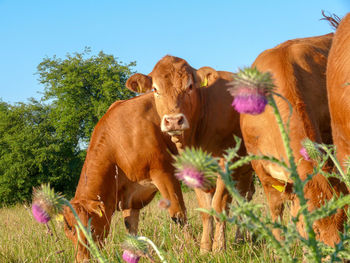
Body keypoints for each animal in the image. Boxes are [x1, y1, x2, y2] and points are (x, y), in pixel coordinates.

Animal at [126, 56, 254, 253]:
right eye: (155, 89)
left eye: (190, 86)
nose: (173, 121)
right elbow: (205, 210)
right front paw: (205, 248)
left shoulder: (227, 163)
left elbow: (218, 206)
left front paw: (219, 249)